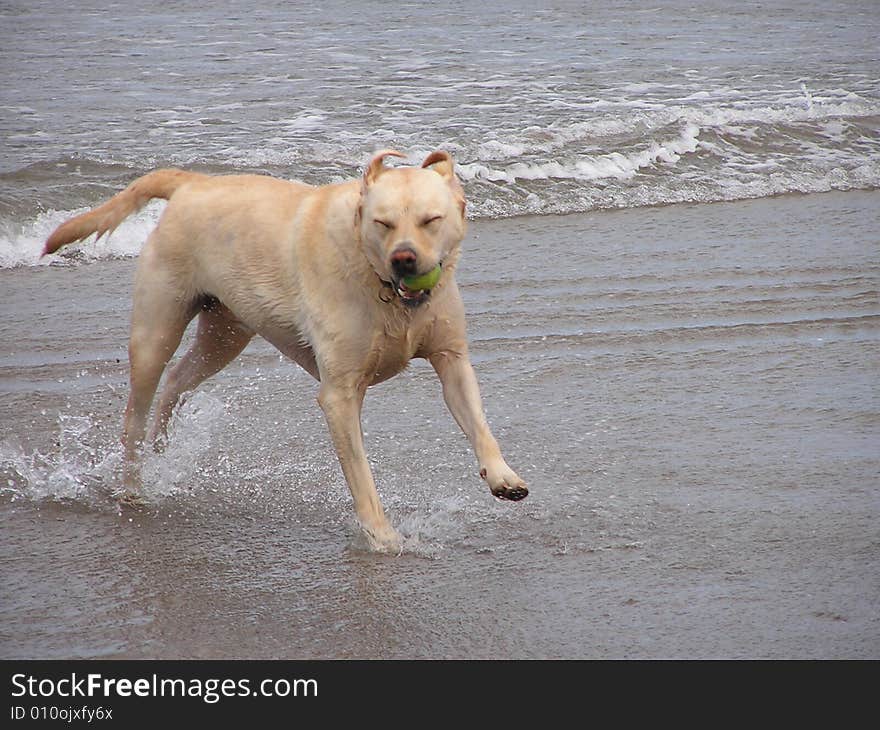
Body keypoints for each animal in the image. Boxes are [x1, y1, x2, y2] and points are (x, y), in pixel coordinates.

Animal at [44, 151, 524, 548]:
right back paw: (133, 486)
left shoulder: (452, 359)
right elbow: (361, 475)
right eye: (383, 224)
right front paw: (382, 535)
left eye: (431, 220)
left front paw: (503, 476)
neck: (384, 289)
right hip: (157, 326)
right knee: (137, 409)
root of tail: (193, 182)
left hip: (226, 333)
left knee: (178, 382)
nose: (403, 259)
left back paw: (161, 449)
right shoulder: (340, 394)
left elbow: (478, 423)